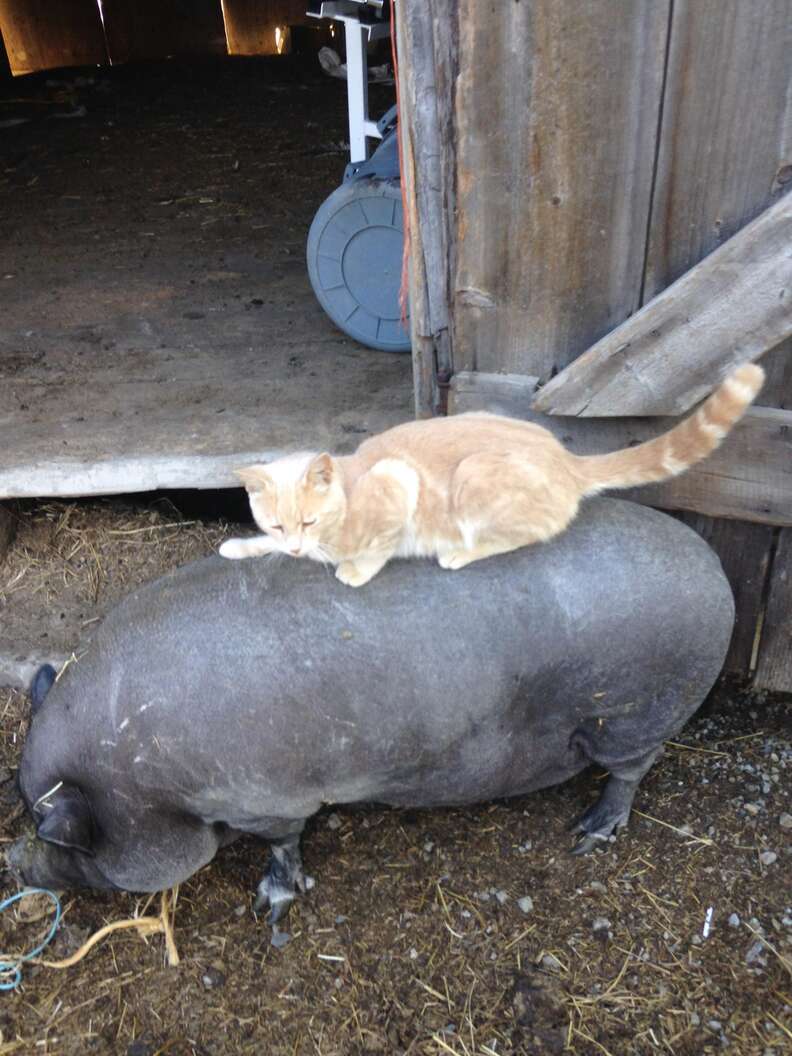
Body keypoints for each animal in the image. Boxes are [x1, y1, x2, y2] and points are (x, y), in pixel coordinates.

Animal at [220, 365, 764, 587]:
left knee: (523, 534)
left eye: (309, 522)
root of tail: (566, 458)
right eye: (278, 525)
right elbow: (261, 546)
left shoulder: (397, 480)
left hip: (474, 476)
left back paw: (459, 552)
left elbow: (378, 546)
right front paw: (239, 547)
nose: (296, 547)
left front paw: (354, 570)